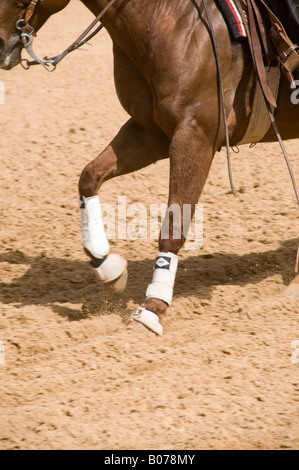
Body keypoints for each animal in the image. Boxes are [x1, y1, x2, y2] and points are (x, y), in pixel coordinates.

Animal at [0, 0, 299, 338]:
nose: (0, 43)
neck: (167, 21)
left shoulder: (194, 136)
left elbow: (174, 226)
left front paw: (152, 308)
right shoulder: (149, 133)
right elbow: (89, 177)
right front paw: (107, 265)